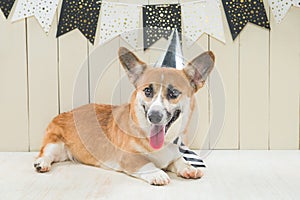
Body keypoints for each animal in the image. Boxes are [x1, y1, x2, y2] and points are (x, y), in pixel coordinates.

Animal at [34, 47, 214, 186]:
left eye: (173, 93)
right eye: (147, 91)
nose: (154, 116)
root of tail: (66, 112)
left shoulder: (173, 156)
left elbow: (180, 160)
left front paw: (189, 168)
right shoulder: (128, 157)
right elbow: (146, 163)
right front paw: (158, 174)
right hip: (55, 144)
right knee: (45, 153)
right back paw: (41, 163)